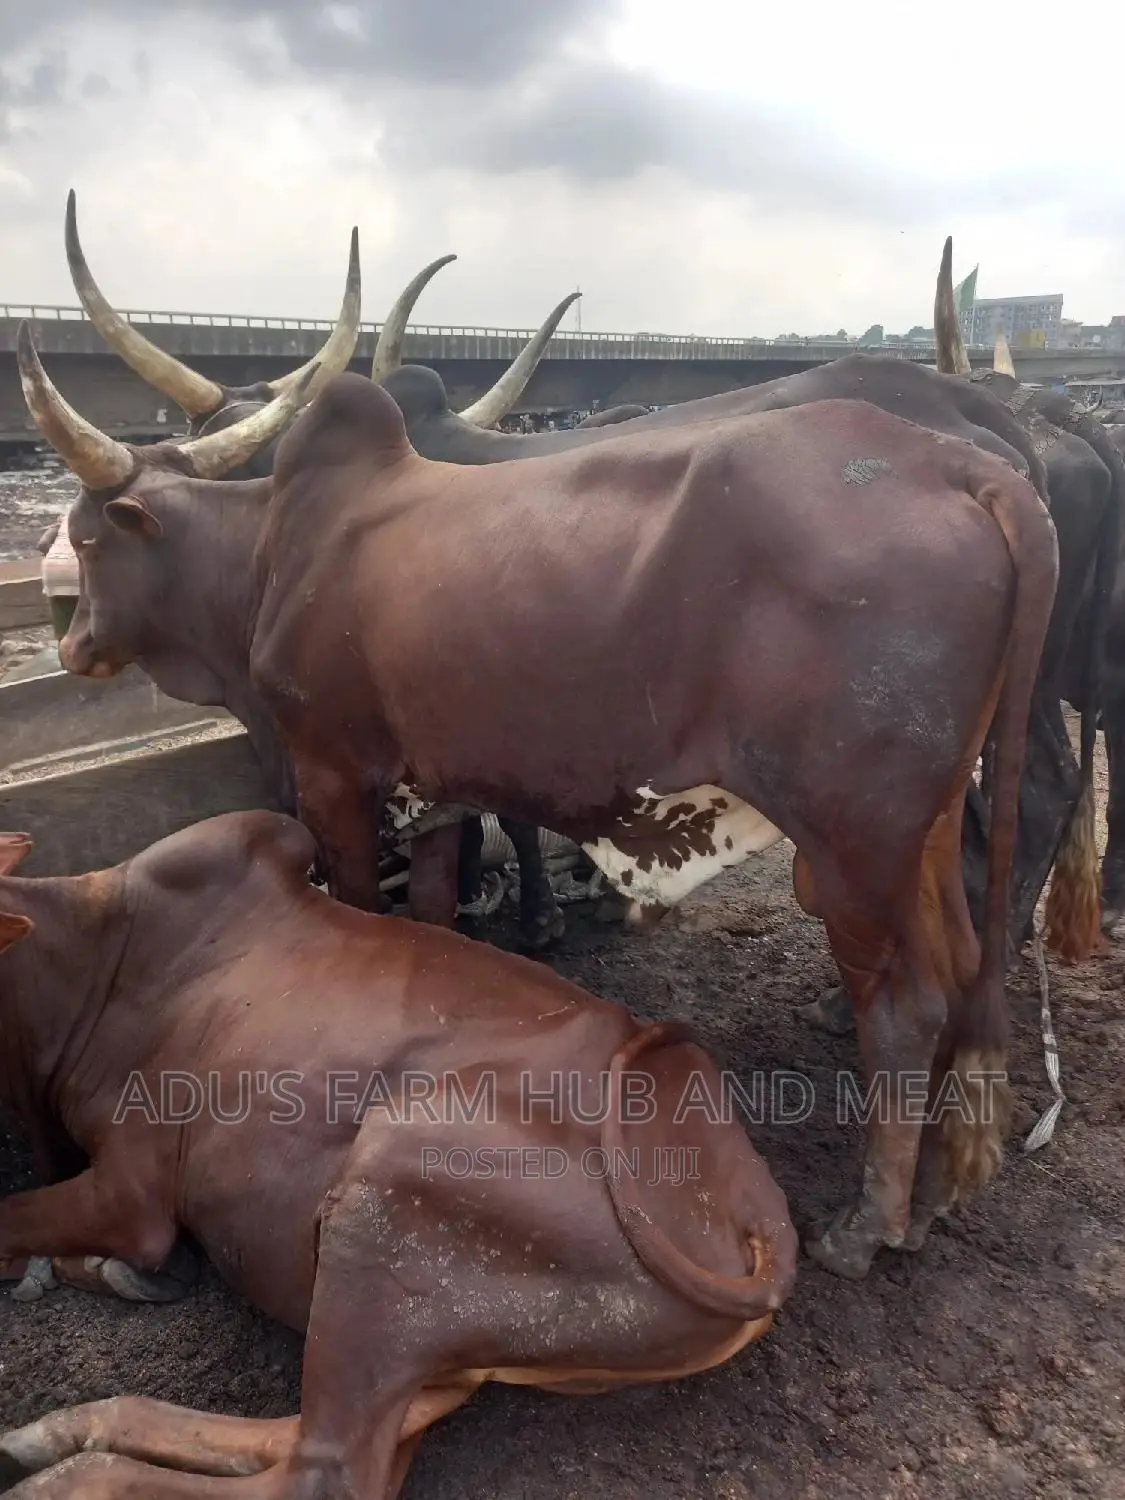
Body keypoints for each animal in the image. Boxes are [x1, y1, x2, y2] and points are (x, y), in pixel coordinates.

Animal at [0, 809, 797, 1498]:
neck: (93, 953)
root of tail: (756, 1206)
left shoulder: (133, 1191)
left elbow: (15, 1212)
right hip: (445, 1331)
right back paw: (64, 1426)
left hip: (393, 1179)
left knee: (322, 1473)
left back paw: (63, 1471)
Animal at [22, 333, 1058, 1280]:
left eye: (87, 536)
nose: (70, 644)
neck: (272, 556)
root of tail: (966, 470)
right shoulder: (433, 797)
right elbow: (429, 923)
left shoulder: (334, 776)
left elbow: (359, 916)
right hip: (922, 830)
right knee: (960, 969)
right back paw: (932, 1194)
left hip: (853, 838)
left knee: (906, 1006)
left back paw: (868, 1223)